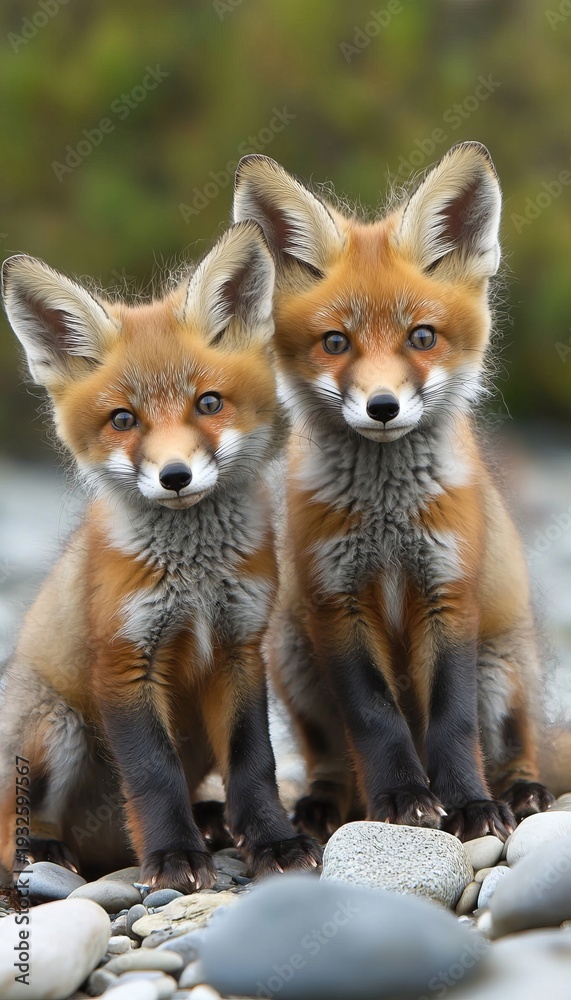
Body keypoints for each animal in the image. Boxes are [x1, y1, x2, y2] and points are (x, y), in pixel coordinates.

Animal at [0, 221, 321, 891]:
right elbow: (152, 772)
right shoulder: (124, 662)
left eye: (209, 403)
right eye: (124, 419)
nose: (175, 476)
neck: (194, 577)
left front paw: (272, 841)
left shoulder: (239, 648)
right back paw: (43, 852)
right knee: (11, 829)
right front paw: (174, 855)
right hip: (58, 731)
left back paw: (213, 821)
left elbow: (255, 762)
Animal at [233, 142, 557, 843]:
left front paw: (469, 806)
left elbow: (452, 722)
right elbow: (376, 719)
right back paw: (324, 806)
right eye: (335, 343)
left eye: (422, 337)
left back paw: (520, 792)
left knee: (521, 745)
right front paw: (405, 799)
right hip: (293, 659)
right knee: (331, 762)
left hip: (505, 669)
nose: (382, 407)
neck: (387, 522)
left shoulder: (448, 592)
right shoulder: (337, 604)